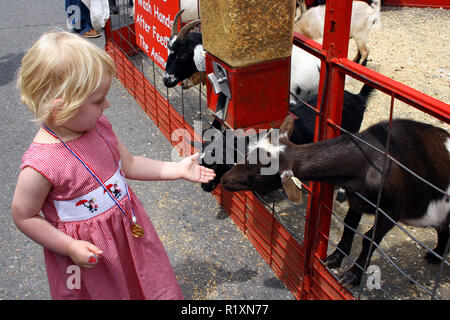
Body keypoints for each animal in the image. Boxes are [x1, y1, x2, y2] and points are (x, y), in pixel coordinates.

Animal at [221, 116, 450, 286]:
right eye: (247, 155)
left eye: (257, 175)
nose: (224, 180)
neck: (367, 162)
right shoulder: (356, 199)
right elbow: (348, 226)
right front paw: (334, 258)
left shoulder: (392, 210)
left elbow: (368, 238)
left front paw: (353, 276)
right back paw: (436, 255)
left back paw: (437, 256)